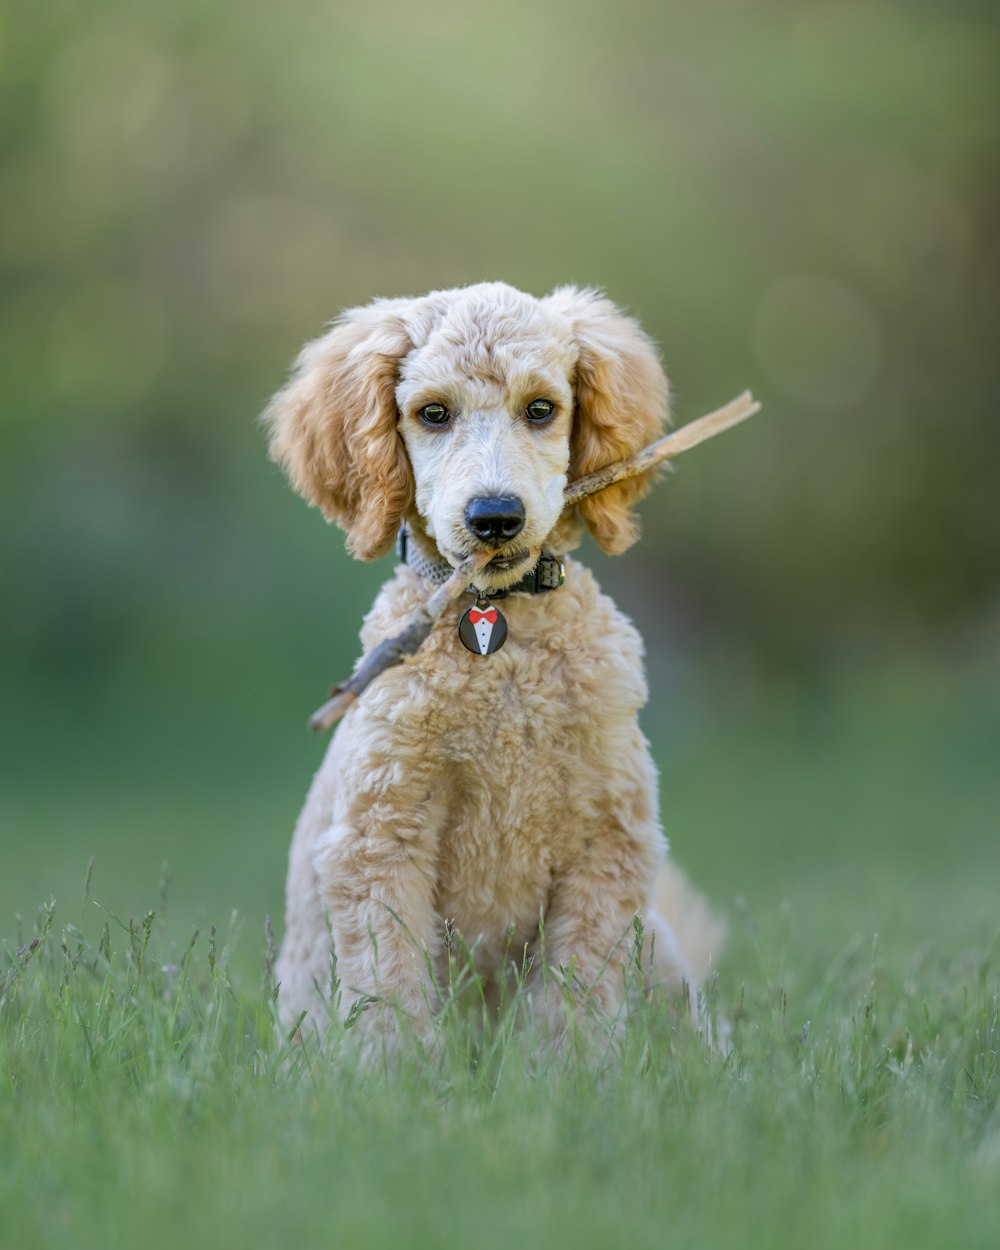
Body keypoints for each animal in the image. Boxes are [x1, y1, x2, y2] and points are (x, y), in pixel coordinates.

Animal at [261, 283, 725, 1055]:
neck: (497, 639)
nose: (495, 518)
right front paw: (392, 1079)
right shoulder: (381, 837)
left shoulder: (607, 842)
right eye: (432, 413)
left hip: (657, 949)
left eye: (540, 408)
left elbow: (576, 1000)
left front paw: (572, 1075)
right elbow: (390, 993)